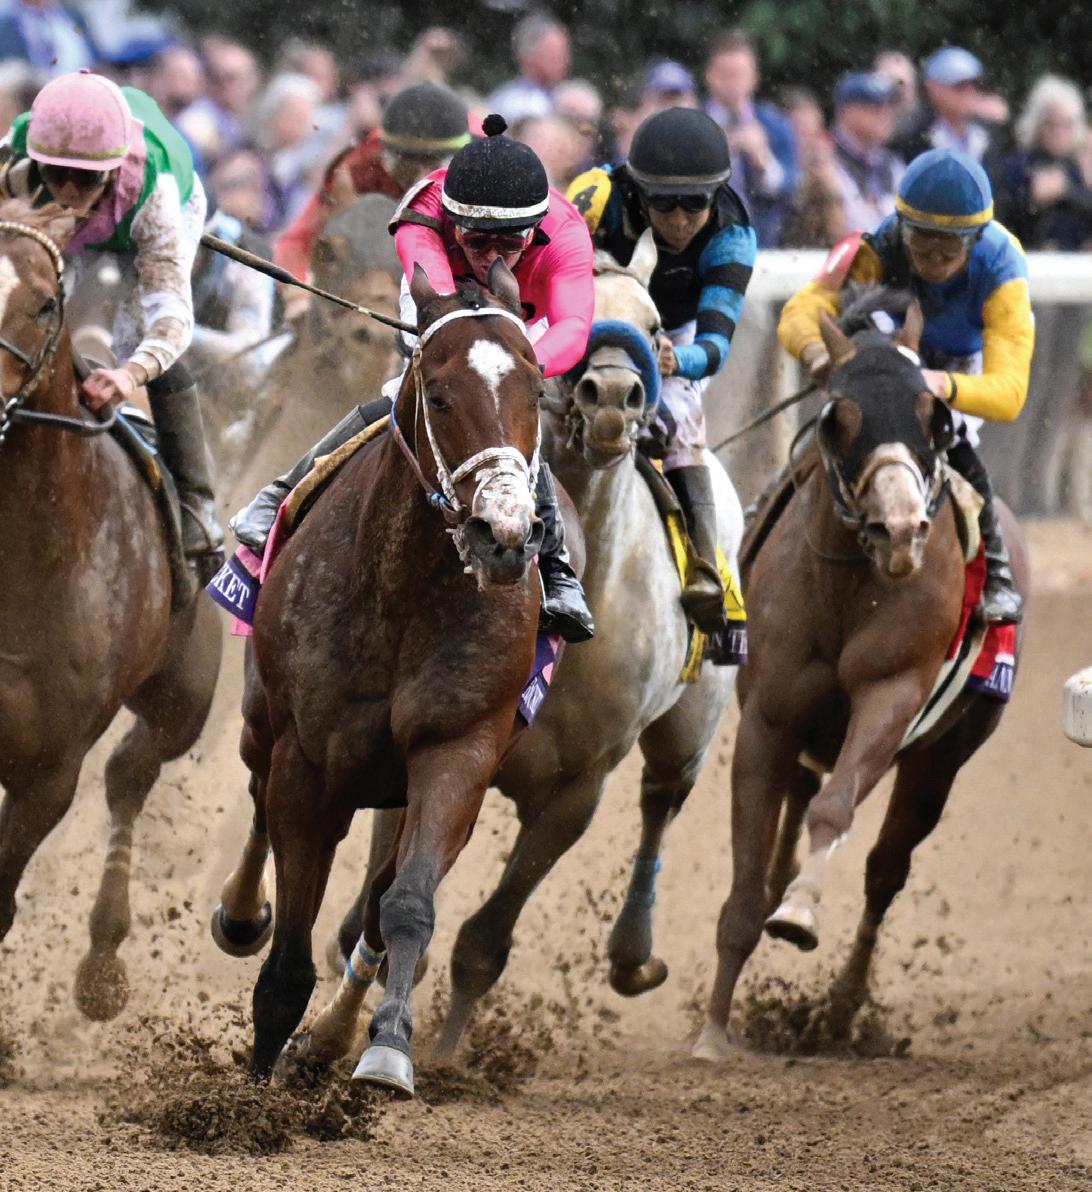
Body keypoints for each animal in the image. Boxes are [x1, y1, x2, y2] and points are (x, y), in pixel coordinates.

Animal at [211, 263, 562, 1096]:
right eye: (437, 394)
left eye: (537, 389)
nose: (504, 537)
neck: (401, 591)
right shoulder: (308, 762)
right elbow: (287, 958)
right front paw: (254, 1091)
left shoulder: (458, 751)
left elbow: (403, 906)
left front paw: (382, 1050)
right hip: (260, 719)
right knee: (255, 797)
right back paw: (241, 916)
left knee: (376, 902)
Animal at [696, 298, 1030, 1063]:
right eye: (835, 417)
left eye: (935, 416)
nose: (900, 530)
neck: (847, 585)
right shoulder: (769, 717)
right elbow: (744, 887)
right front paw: (712, 1031)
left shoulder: (891, 696)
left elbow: (836, 812)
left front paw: (799, 913)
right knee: (797, 803)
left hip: (942, 757)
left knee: (884, 868)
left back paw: (843, 1006)